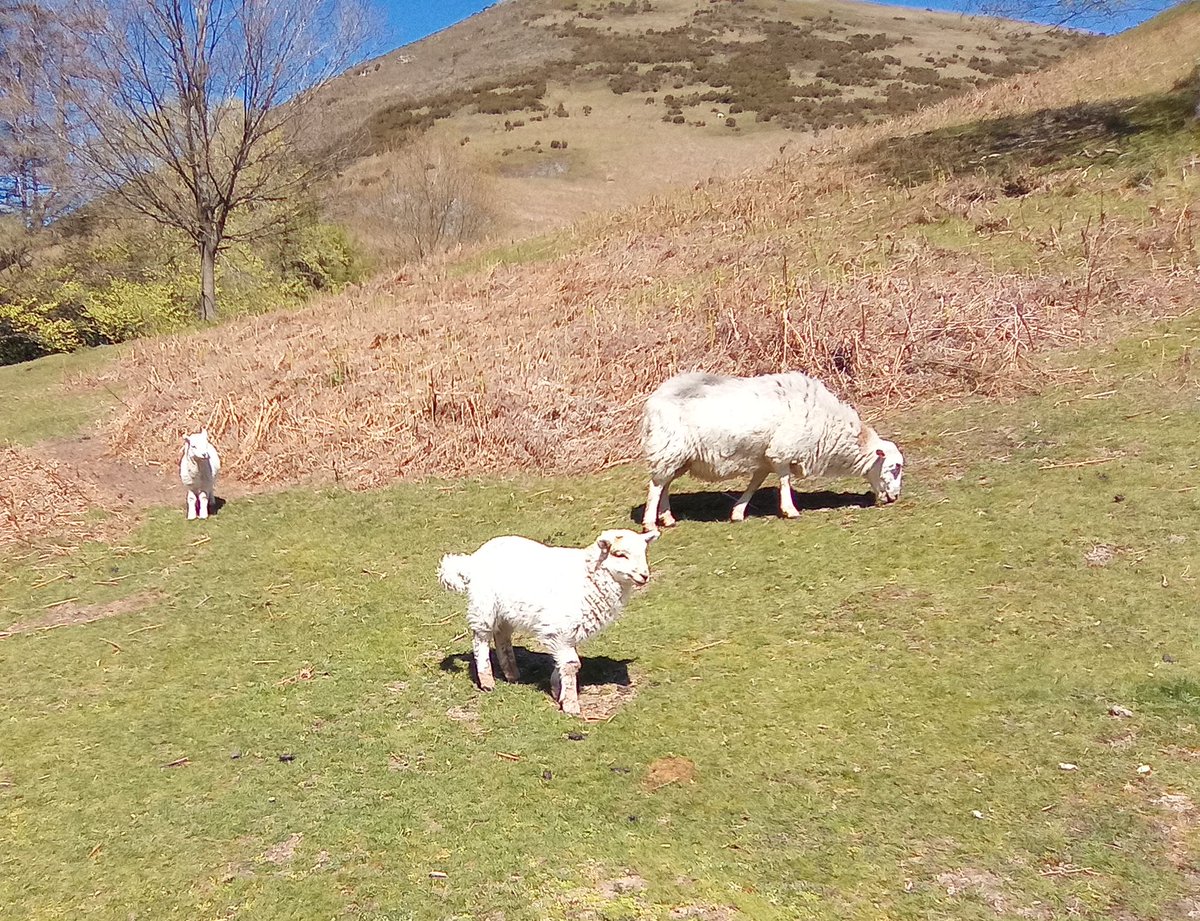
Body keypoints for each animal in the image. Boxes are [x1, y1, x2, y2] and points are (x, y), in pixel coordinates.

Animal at [438, 529, 658, 715]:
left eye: (644, 551)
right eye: (619, 554)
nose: (644, 576)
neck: (588, 578)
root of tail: (472, 560)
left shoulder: (566, 631)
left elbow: (564, 661)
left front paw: (557, 688)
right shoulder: (562, 627)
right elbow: (571, 664)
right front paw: (570, 705)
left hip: (507, 610)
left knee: (502, 636)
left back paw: (511, 673)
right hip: (483, 604)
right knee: (481, 639)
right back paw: (487, 681)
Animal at [641, 371, 904, 530]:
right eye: (894, 468)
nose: (895, 497)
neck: (827, 423)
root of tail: (652, 400)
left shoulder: (765, 457)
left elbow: (755, 483)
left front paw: (738, 511)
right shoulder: (782, 449)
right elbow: (785, 480)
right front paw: (790, 510)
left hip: (679, 456)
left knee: (665, 484)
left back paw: (667, 517)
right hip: (669, 448)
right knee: (656, 486)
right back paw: (650, 523)